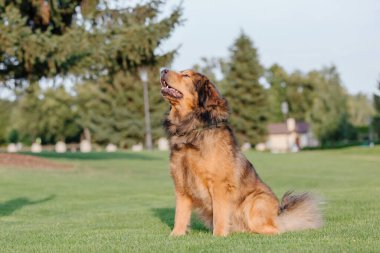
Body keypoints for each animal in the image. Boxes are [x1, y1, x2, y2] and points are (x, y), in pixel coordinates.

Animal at [159, 68, 322, 236]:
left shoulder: (219, 185)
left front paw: (218, 236)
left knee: (276, 230)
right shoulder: (181, 186)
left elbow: (219, 215)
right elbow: (180, 215)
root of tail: (279, 213)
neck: (191, 129)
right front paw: (175, 235)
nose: (163, 70)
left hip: (254, 202)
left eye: (186, 75)